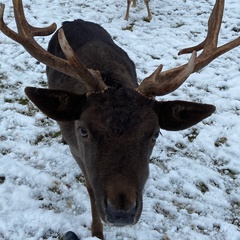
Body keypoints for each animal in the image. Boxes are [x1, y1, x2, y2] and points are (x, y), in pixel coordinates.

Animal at [0, 0, 239, 240]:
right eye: (83, 130)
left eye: (155, 134)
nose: (121, 212)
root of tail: (72, 21)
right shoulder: (79, 153)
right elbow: (89, 186)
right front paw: (97, 231)